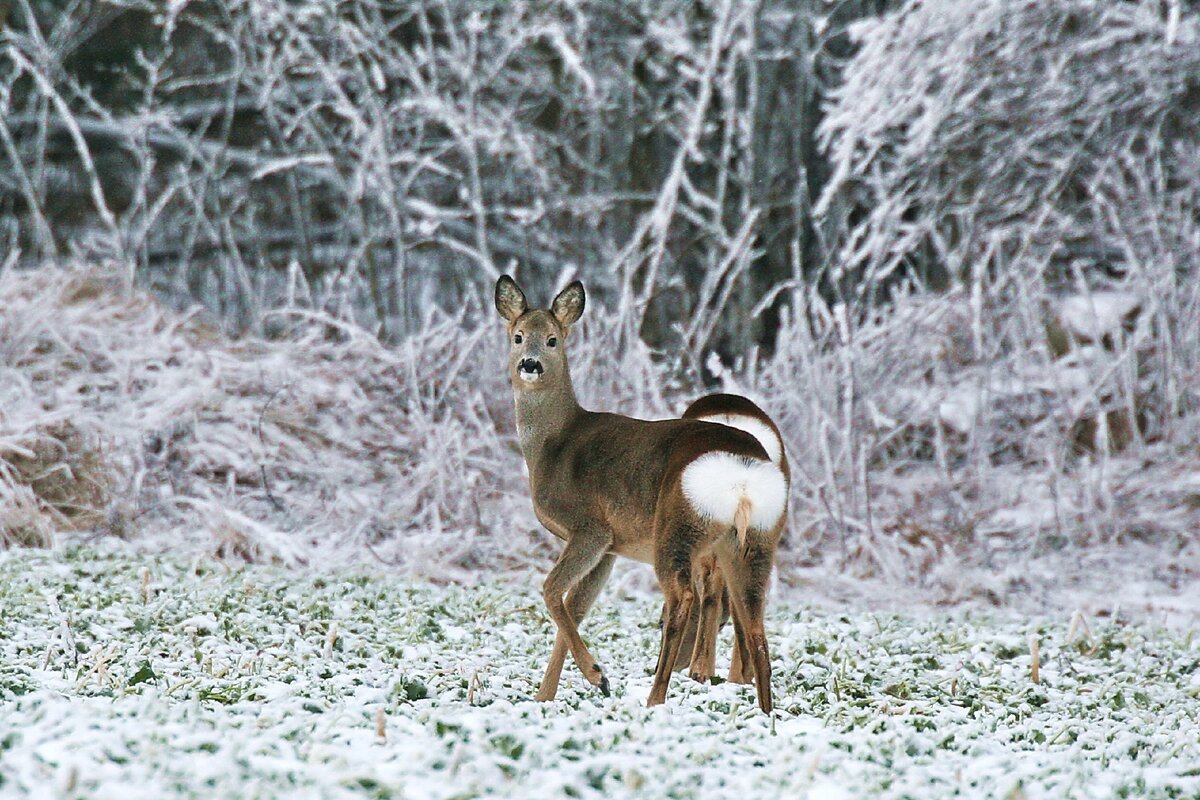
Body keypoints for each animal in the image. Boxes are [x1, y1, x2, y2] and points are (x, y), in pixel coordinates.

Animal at [494, 277, 787, 714]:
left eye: (551, 340)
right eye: (517, 336)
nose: (530, 364)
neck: (553, 444)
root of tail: (740, 476)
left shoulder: (590, 528)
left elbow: (551, 592)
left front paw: (596, 676)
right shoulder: (611, 546)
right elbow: (575, 607)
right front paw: (546, 695)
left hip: (677, 529)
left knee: (683, 599)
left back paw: (655, 696)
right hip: (755, 539)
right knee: (755, 622)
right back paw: (764, 712)